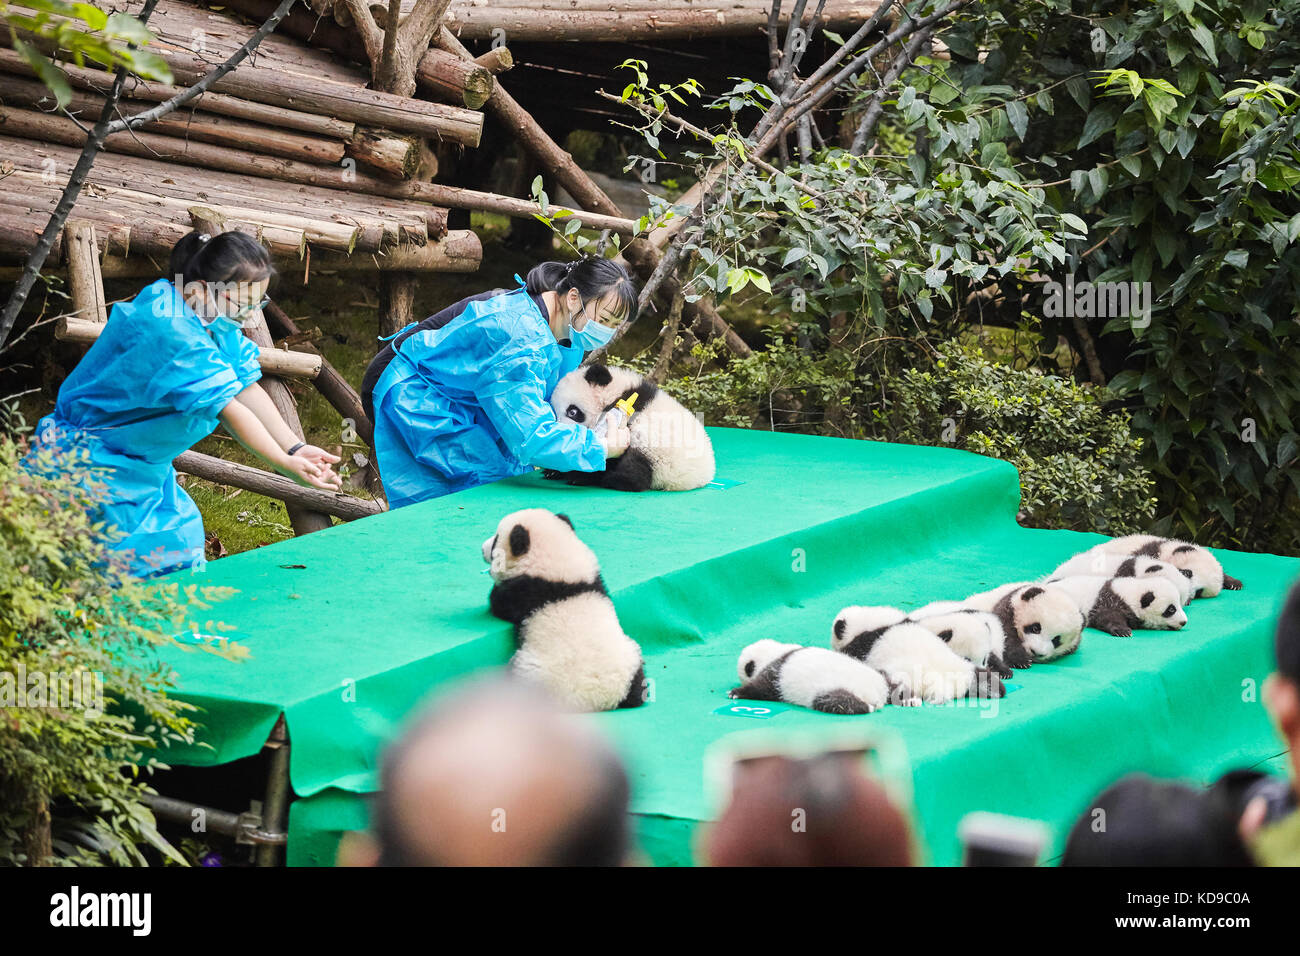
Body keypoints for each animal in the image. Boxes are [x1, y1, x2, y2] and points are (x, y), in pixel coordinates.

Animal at [483, 509, 644, 712]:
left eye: (496, 539)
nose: (482, 548)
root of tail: (594, 699)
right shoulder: (595, 578)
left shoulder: (527, 590)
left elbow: (500, 602)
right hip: (629, 661)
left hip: (533, 674)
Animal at [543, 361, 717, 489]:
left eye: (572, 412)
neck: (616, 393)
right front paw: (554, 470)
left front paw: (574, 474)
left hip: (661, 453)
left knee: (634, 469)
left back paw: (606, 478)